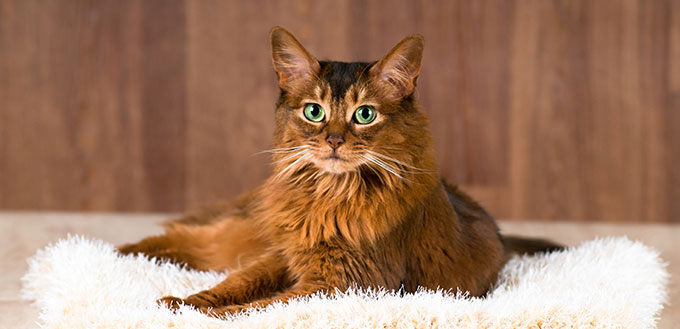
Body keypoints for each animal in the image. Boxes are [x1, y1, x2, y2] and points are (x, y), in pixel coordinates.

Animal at [119, 26, 560, 316]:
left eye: (364, 114)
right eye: (314, 111)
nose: (333, 139)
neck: (328, 197)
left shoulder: (338, 285)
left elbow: (257, 307)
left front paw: (201, 315)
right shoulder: (282, 254)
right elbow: (236, 283)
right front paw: (183, 303)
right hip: (248, 230)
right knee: (196, 238)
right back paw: (124, 251)